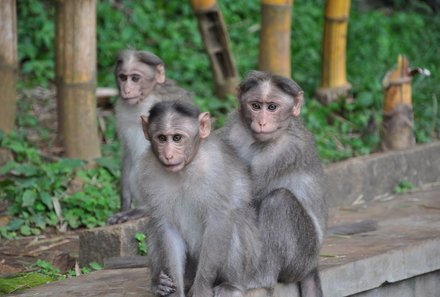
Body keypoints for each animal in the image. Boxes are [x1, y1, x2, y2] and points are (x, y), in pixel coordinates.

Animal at [107, 49, 192, 223]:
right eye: (123, 77)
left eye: (135, 78)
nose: (126, 90)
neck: (145, 99)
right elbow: (127, 153)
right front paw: (124, 203)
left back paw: (144, 209)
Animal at [133, 100, 258, 296]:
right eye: (162, 138)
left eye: (177, 138)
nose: (168, 155)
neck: (185, 169)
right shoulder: (148, 171)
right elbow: (167, 226)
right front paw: (176, 291)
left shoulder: (215, 167)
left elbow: (218, 221)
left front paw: (201, 289)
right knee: (154, 225)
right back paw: (158, 282)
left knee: (234, 220)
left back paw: (232, 284)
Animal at [222, 70, 328, 294]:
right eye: (255, 106)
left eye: (272, 107)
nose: (262, 122)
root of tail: (313, 264)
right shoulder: (232, 127)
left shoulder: (284, 151)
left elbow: (248, 199)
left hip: (301, 258)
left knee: (279, 201)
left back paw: (260, 279)